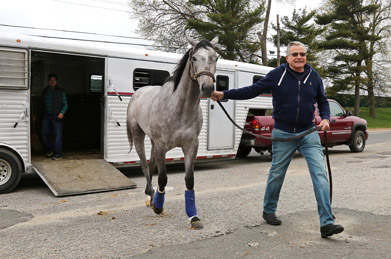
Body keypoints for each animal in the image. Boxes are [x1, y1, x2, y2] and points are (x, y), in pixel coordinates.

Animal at [127, 36, 219, 230]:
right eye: (194, 58)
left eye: (215, 58)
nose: (207, 88)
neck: (180, 108)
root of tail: (138, 93)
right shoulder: (162, 147)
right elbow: (162, 178)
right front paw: (158, 207)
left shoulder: (191, 146)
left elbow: (189, 180)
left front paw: (193, 216)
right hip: (139, 135)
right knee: (145, 165)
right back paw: (150, 196)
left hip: (153, 142)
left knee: (151, 165)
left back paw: (151, 197)